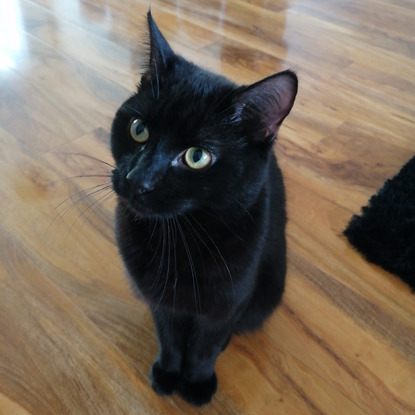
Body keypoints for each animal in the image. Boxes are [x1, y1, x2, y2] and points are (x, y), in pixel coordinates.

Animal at [112, 10, 298, 406]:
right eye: (138, 129)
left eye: (196, 157)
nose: (137, 179)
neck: (180, 238)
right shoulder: (160, 300)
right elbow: (169, 337)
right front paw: (168, 373)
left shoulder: (225, 305)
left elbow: (204, 348)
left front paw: (196, 383)